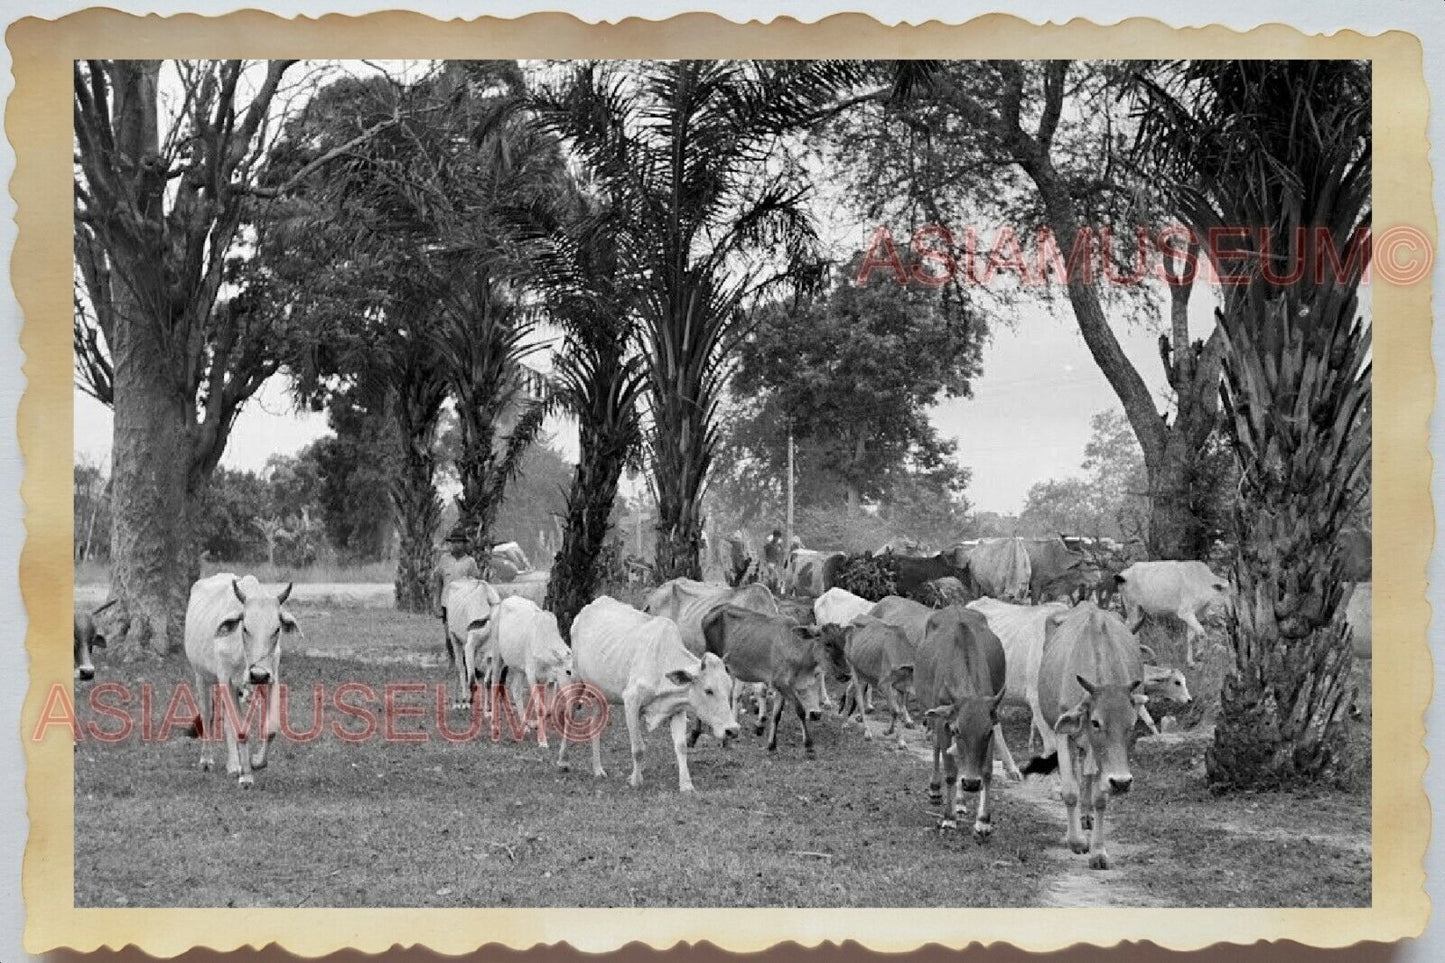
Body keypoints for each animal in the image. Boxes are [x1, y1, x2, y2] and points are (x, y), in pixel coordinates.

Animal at [183, 572, 296, 786]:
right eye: (245, 628)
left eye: (276, 629)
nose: (257, 674)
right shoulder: (225, 679)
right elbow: (240, 730)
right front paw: (246, 777)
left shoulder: (271, 678)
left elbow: (271, 728)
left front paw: (255, 762)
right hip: (201, 676)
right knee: (207, 714)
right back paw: (207, 760)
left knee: (227, 721)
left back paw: (233, 765)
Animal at [439, 572, 502, 708]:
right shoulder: (469, 646)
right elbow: (472, 680)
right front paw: (470, 701)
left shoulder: (491, 654)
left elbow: (488, 682)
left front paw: (488, 706)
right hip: (454, 637)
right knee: (460, 668)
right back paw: (460, 699)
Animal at [488, 592, 572, 740]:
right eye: (568, 671)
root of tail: (503, 602)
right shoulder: (531, 674)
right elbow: (540, 707)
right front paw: (542, 741)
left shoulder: (550, 680)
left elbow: (548, 709)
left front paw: (534, 725)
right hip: (498, 657)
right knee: (495, 685)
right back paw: (494, 726)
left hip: (519, 668)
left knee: (515, 689)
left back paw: (524, 726)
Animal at [557, 595, 739, 792]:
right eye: (708, 690)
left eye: (729, 688)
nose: (733, 730)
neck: (662, 661)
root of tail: (590, 607)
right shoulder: (631, 701)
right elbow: (638, 748)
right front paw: (636, 780)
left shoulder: (677, 708)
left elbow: (681, 747)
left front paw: (686, 785)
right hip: (576, 681)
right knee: (569, 717)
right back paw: (563, 762)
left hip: (600, 693)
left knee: (595, 725)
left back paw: (598, 770)